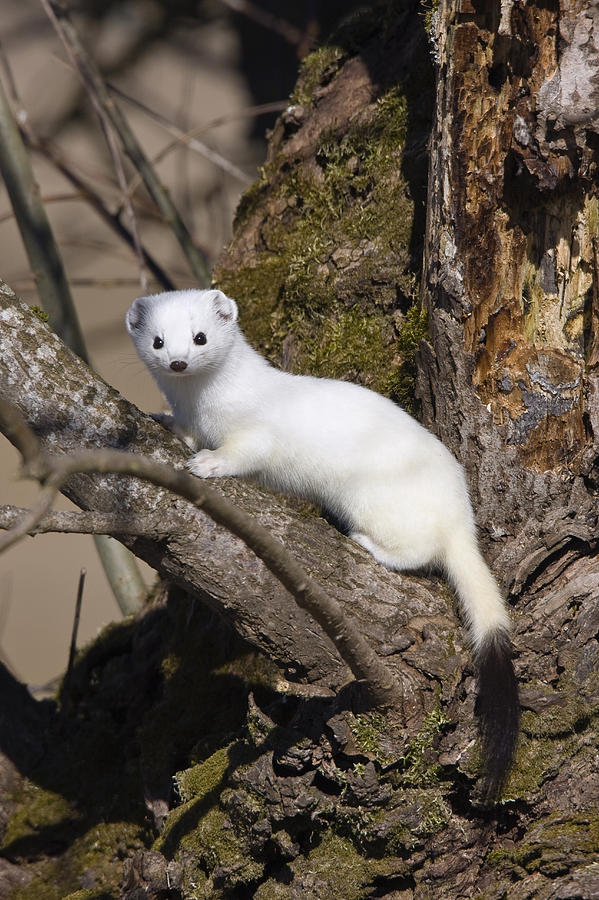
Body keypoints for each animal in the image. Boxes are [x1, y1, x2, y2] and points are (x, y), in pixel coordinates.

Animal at [126, 288, 520, 796]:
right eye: (158, 340)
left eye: (200, 336)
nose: (177, 361)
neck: (204, 407)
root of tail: (460, 518)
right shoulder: (194, 422)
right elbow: (184, 431)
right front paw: (162, 418)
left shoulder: (257, 434)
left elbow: (241, 454)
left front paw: (208, 464)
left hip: (379, 503)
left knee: (416, 552)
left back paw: (365, 542)